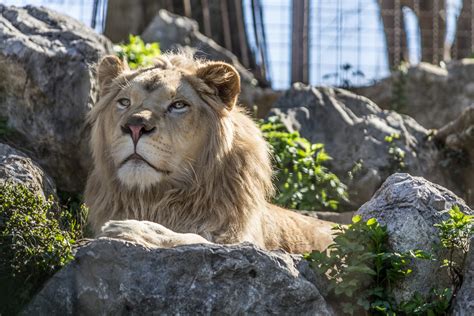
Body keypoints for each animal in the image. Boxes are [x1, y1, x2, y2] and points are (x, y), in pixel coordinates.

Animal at [86, 52, 336, 254]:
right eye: (124, 102)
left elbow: (192, 238)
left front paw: (130, 228)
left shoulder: (243, 242)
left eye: (178, 105)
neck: (157, 198)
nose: (135, 127)